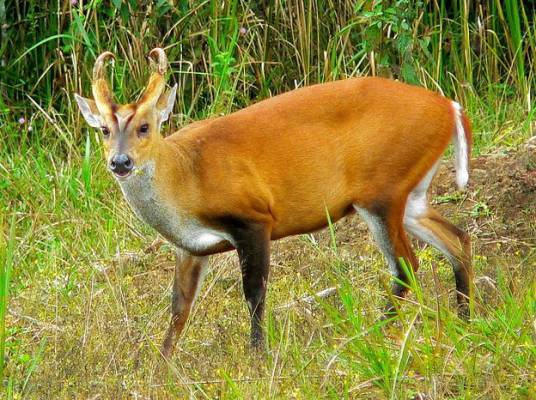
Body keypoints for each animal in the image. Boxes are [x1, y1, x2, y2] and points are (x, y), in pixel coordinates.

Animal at [75, 48, 474, 358]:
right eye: (104, 130)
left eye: (145, 127)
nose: (120, 162)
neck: (186, 176)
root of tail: (450, 107)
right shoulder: (190, 248)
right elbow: (178, 308)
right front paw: (162, 365)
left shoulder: (253, 218)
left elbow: (254, 292)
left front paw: (257, 355)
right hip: (410, 194)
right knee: (457, 239)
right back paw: (465, 320)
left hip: (381, 189)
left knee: (407, 263)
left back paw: (374, 334)